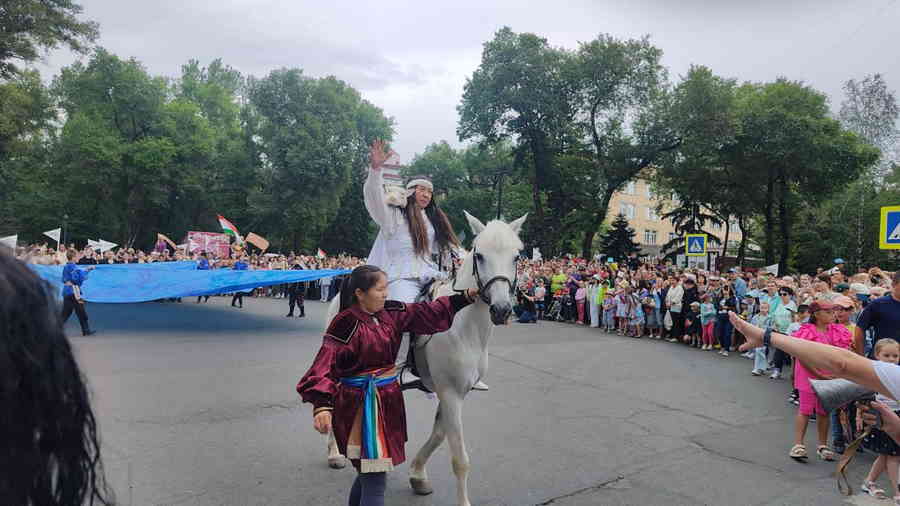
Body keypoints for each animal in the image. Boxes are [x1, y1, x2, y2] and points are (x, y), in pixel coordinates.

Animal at [322, 211, 524, 504]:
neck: (464, 325)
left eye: (516, 256)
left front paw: (417, 475)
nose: (501, 309)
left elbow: (439, 435)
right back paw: (335, 453)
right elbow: (460, 459)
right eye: (479, 255)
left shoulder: (453, 392)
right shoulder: (451, 392)